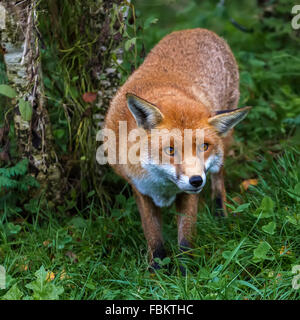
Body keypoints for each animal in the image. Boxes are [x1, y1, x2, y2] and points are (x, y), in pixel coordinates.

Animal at [103, 28, 251, 272]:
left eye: (204, 146)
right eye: (170, 150)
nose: (196, 181)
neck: (163, 185)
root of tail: (199, 30)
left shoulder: (188, 195)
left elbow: (185, 239)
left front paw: (186, 272)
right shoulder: (141, 190)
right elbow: (154, 237)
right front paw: (157, 271)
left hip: (222, 151)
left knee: (219, 181)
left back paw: (221, 214)